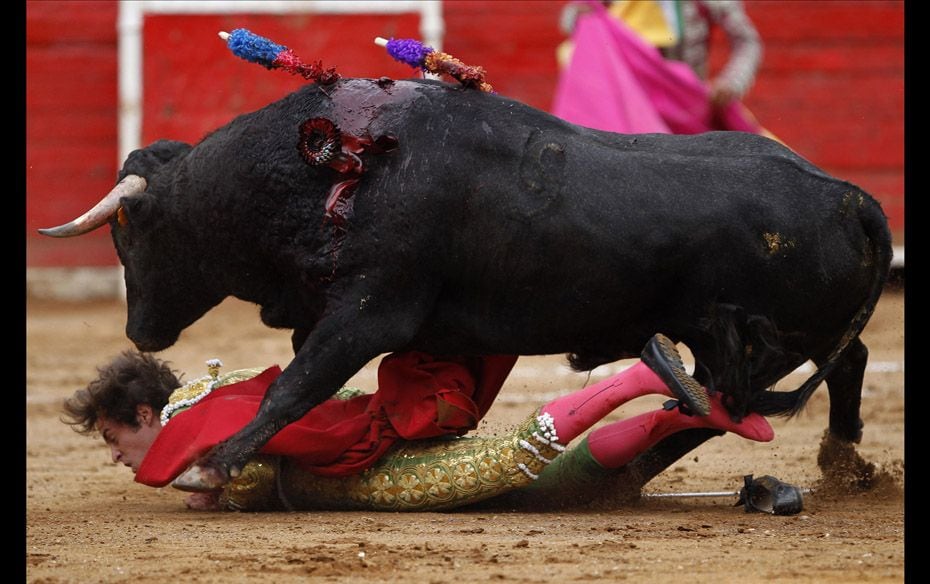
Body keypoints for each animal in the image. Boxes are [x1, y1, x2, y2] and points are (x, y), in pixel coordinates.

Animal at [41, 76, 892, 488]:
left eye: (128, 231)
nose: (139, 332)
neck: (331, 171)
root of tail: (853, 197)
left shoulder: (370, 311)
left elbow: (295, 386)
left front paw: (214, 462)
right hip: (782, 334)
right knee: (837, 364)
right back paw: (842, 458)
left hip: (766, 338)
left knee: (753, 393)